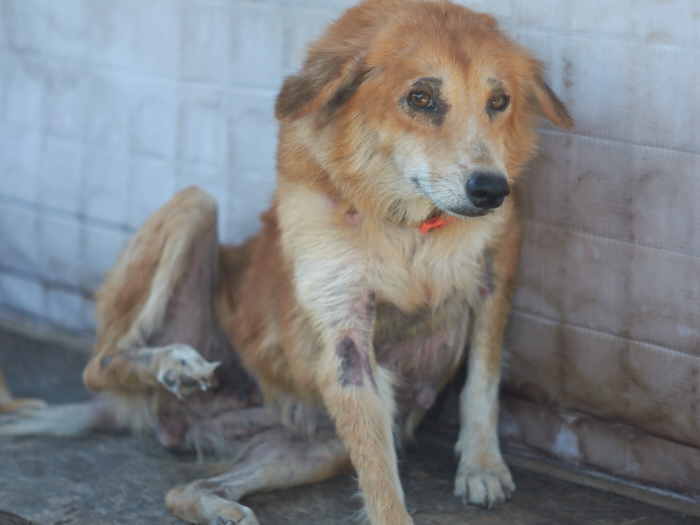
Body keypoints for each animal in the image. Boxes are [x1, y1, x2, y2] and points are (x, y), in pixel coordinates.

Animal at [0, 1, 568, 524]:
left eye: (499, 101)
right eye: (421, 98)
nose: (492, 190)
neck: (410, 229)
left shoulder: (497, 271)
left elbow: (482, 382)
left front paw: (482, 465)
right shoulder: (345, 339)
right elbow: (382, 484)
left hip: (316, 446)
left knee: (182, 489)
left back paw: (221, 507)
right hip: (193, 205)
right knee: (97, 365)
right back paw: (173, 363)